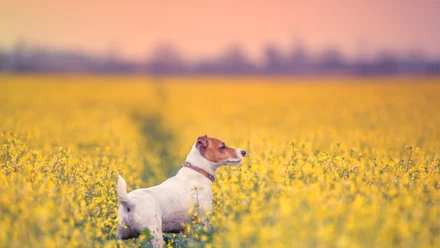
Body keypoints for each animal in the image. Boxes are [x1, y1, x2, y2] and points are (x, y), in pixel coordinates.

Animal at [117, 135, 246, 247]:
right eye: (222, 146)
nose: (244, 152)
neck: (198, 171)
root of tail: (130, 202)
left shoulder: (186, 229)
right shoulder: (205, 220)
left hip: (120, 236)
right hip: (155, 235)